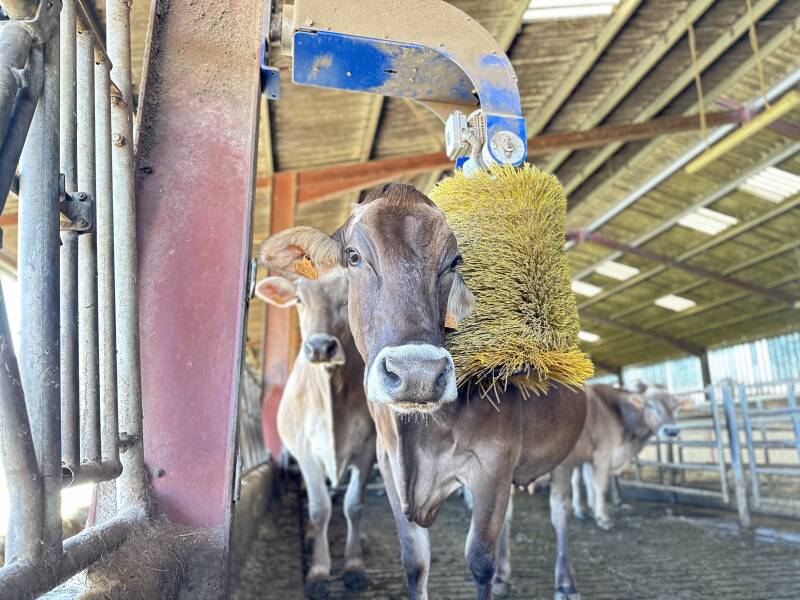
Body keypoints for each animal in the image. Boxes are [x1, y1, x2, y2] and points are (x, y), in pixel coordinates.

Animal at [255, 270, 376, 598]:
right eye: (299, 300)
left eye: (347, 298)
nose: (321, 347)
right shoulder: (306, 453)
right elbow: (319, 508)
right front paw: (319, 571)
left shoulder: (367, 450)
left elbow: (354, 504)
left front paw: (354, 565)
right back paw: (310, 536)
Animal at [553, 382, 680, 531]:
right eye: (650, 405)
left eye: (674, 406)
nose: (671, 430)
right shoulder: (603, 454)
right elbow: (599, 486)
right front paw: (603, 518)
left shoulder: (590, 456)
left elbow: (589, 482)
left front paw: (593, 510)